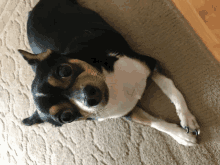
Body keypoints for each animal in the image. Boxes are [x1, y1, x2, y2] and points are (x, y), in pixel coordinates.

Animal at [18, 0, 199, 147]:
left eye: (64, 70)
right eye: (66, 117)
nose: (89, 96)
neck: (112, 86)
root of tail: (35, 7)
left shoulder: (151, 64)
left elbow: (173, 91)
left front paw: (187, 119)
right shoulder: (129, 113)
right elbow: (155, 123)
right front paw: (181, 136)